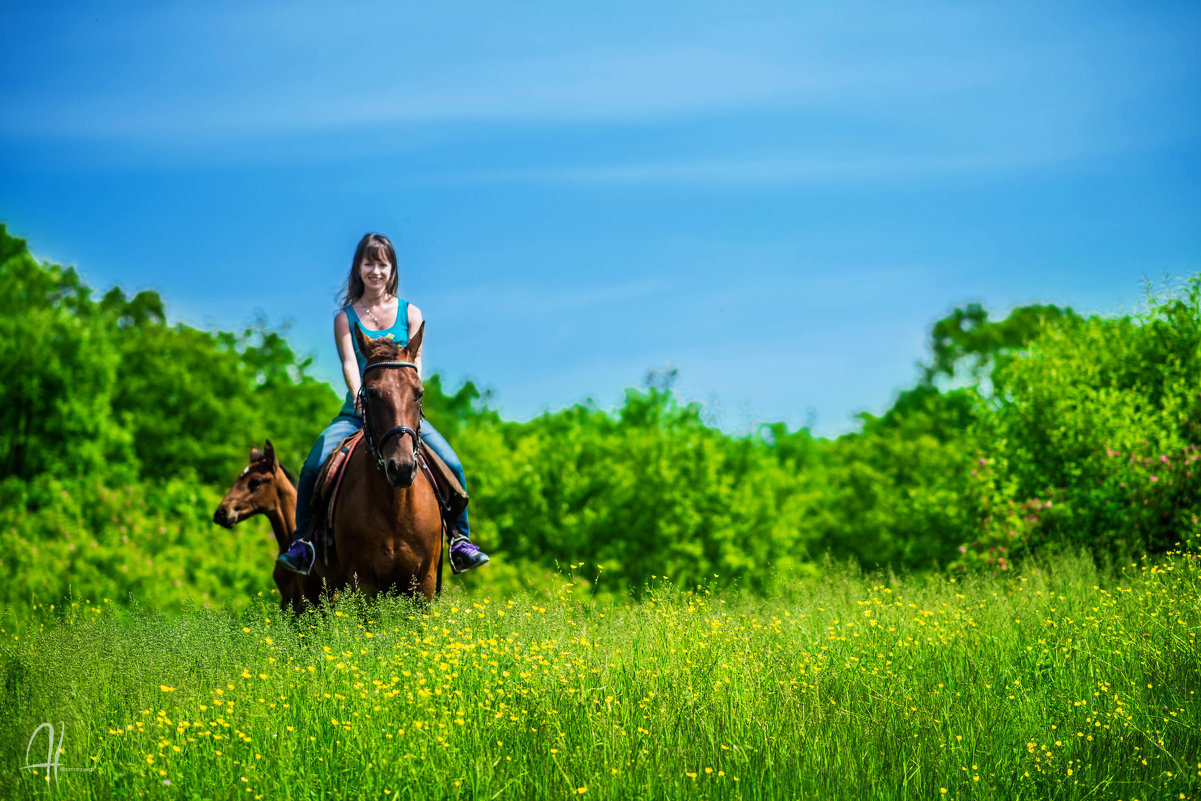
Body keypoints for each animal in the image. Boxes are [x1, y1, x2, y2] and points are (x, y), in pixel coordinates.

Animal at [317, 321, 449, 598]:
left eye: (419, 393)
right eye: (372, 393)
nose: (402, 468)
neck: (395, 506)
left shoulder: (425, 582)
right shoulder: (362, 583)